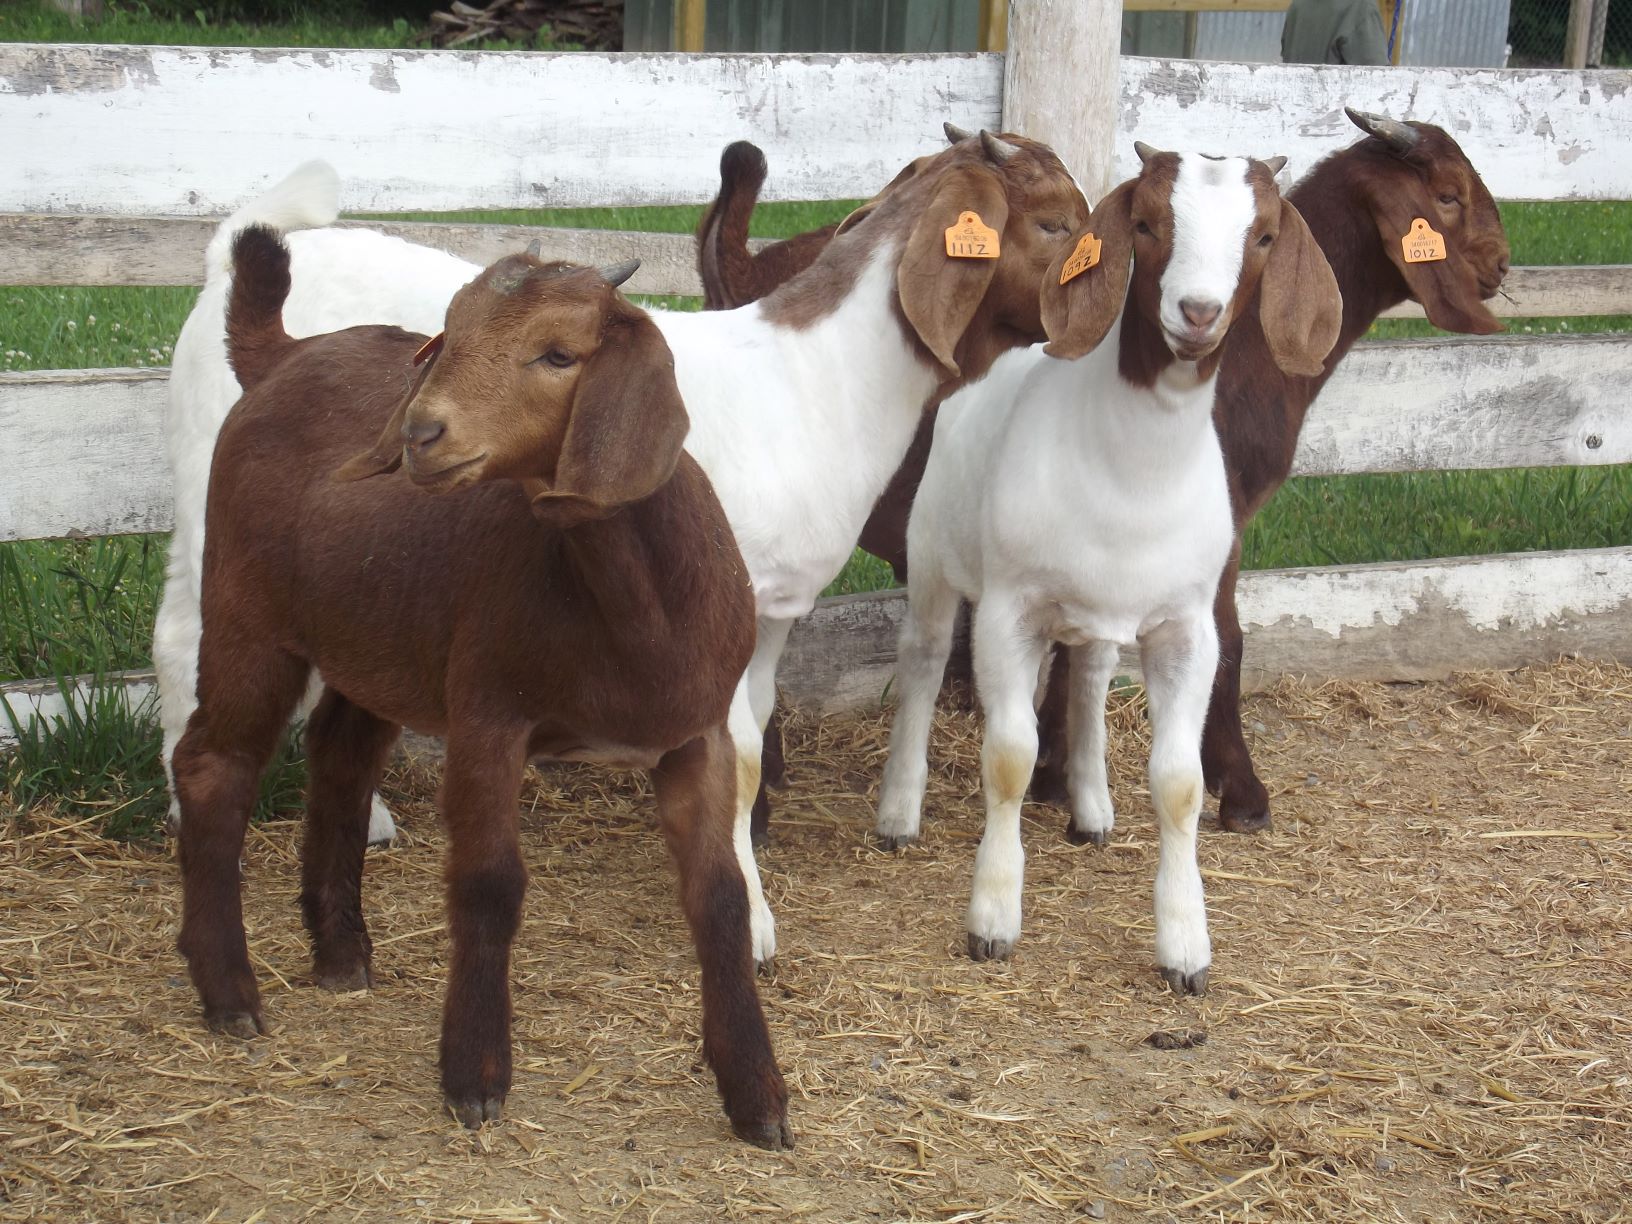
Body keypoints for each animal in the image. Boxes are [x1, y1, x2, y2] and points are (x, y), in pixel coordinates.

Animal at [153, 129, 1090, 966]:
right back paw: (179, 807)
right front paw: (753, 928)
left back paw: (368, 820)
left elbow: (750, 756)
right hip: (213, 505)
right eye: (1051, 223)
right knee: (179, 639)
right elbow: (735, 760)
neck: (812, 379)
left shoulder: (771, 612)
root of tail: (235, 278)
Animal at [175, 228, 793, 1148]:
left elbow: (719, 897)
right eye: (450, 335)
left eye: (558, 353)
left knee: (339, 757)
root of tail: (283, 355)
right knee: (215, 767)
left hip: (377, 634)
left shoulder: (697, 734)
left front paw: (757, 1094)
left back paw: (341, 953)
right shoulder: (489, 719)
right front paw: (475, 1073)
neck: (629, 595)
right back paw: (229, 994)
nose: (423, 432)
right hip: (248, 611)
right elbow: (490, 884)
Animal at [881, 143, 1338, 992]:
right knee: (922, 660)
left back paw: (1091, 809)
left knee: (1090, 673)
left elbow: (1181, 783)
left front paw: (1185, 947)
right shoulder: (1009, 611)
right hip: (932, 556)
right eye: (1149, 224)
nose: (1198, 313)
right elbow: (1009, 758)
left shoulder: (1188, 627)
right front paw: (992, 919)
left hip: (1097, 611)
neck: (1134, 463)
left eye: (1263, 236)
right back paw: (898, 812)